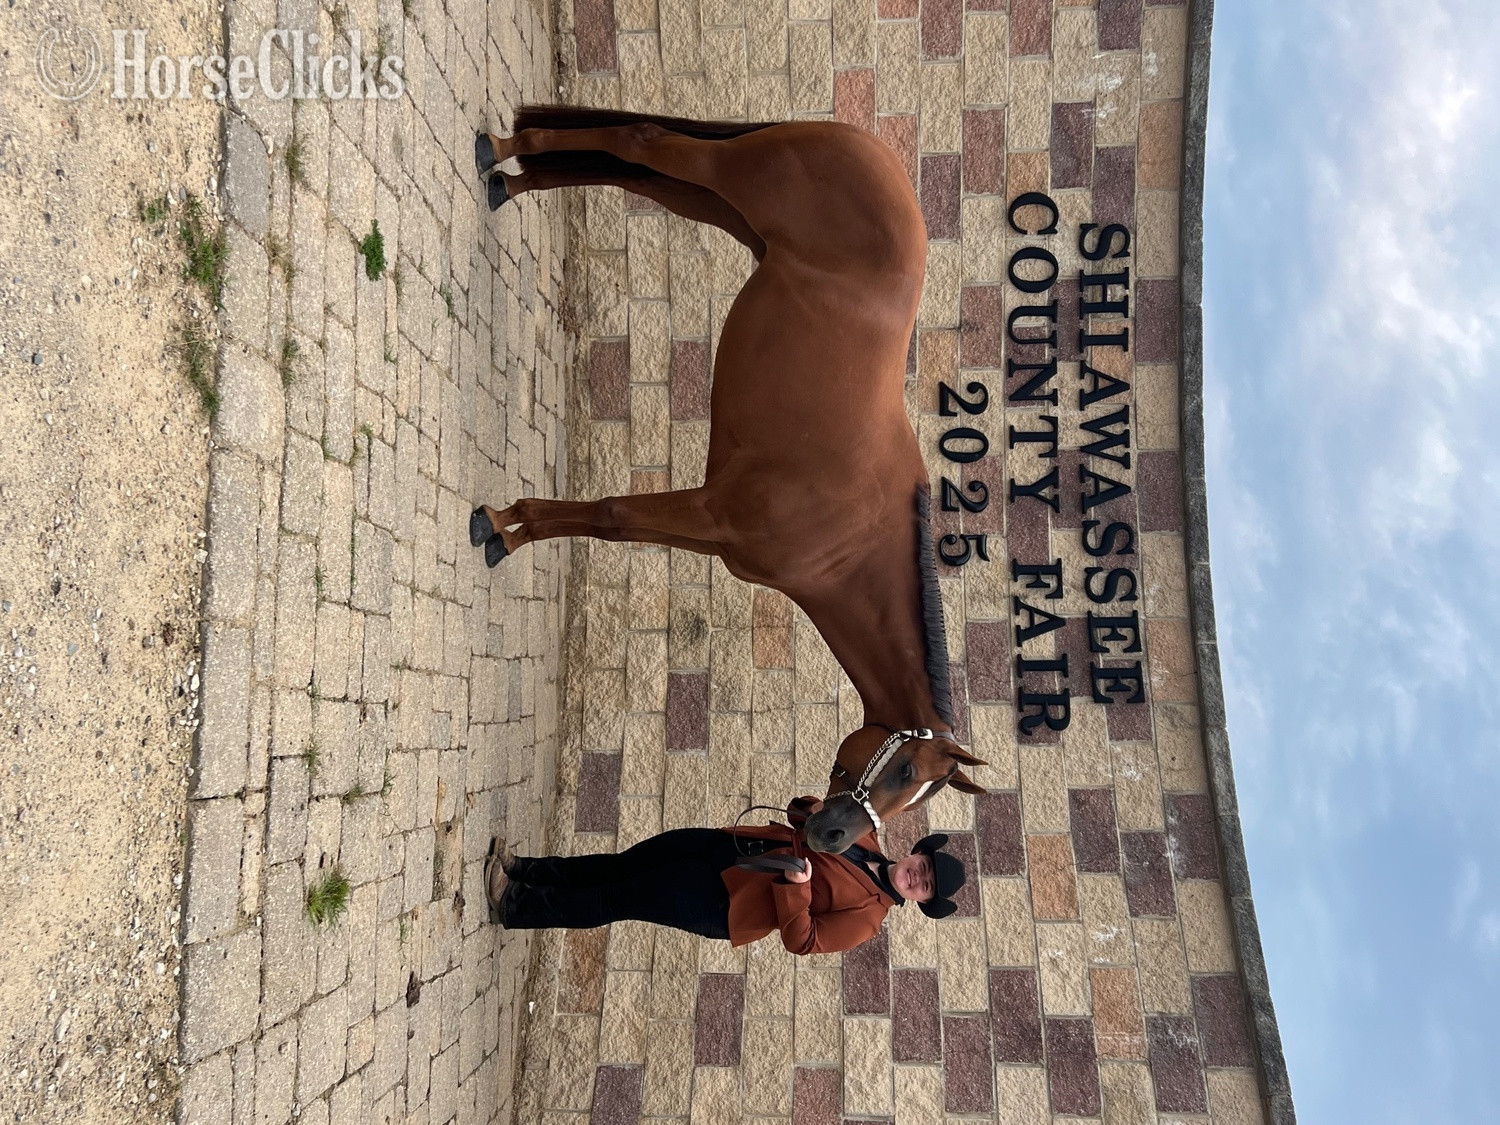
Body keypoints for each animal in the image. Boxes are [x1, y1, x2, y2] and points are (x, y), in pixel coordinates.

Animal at [469, 106, 988, 853]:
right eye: (905, 769)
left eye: (917, 790)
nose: (832, 836)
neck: (849, 538)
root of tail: (859, 142)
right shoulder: (712, 511)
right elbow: (610, 514)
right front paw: (506, 528)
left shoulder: (712, 534)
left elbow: (613, 524)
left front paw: (512, 525)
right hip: (724, 176)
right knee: (639, 142)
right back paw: (507, 150)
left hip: (725, 210)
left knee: (637, 172)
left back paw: (514, 180)